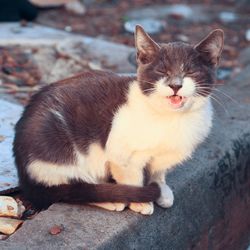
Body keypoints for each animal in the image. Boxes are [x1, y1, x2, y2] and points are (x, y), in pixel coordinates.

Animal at [13, 24, 225, 215]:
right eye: (162, 72)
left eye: (190, 72)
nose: (175, 85)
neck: (171, 119)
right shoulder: (121, 154)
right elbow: (132, 176)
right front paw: (141, 201)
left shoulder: (163, 156)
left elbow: (158, 171)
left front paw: (162, 189)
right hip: (58, 148)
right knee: (70, 190)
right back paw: (112, 199)